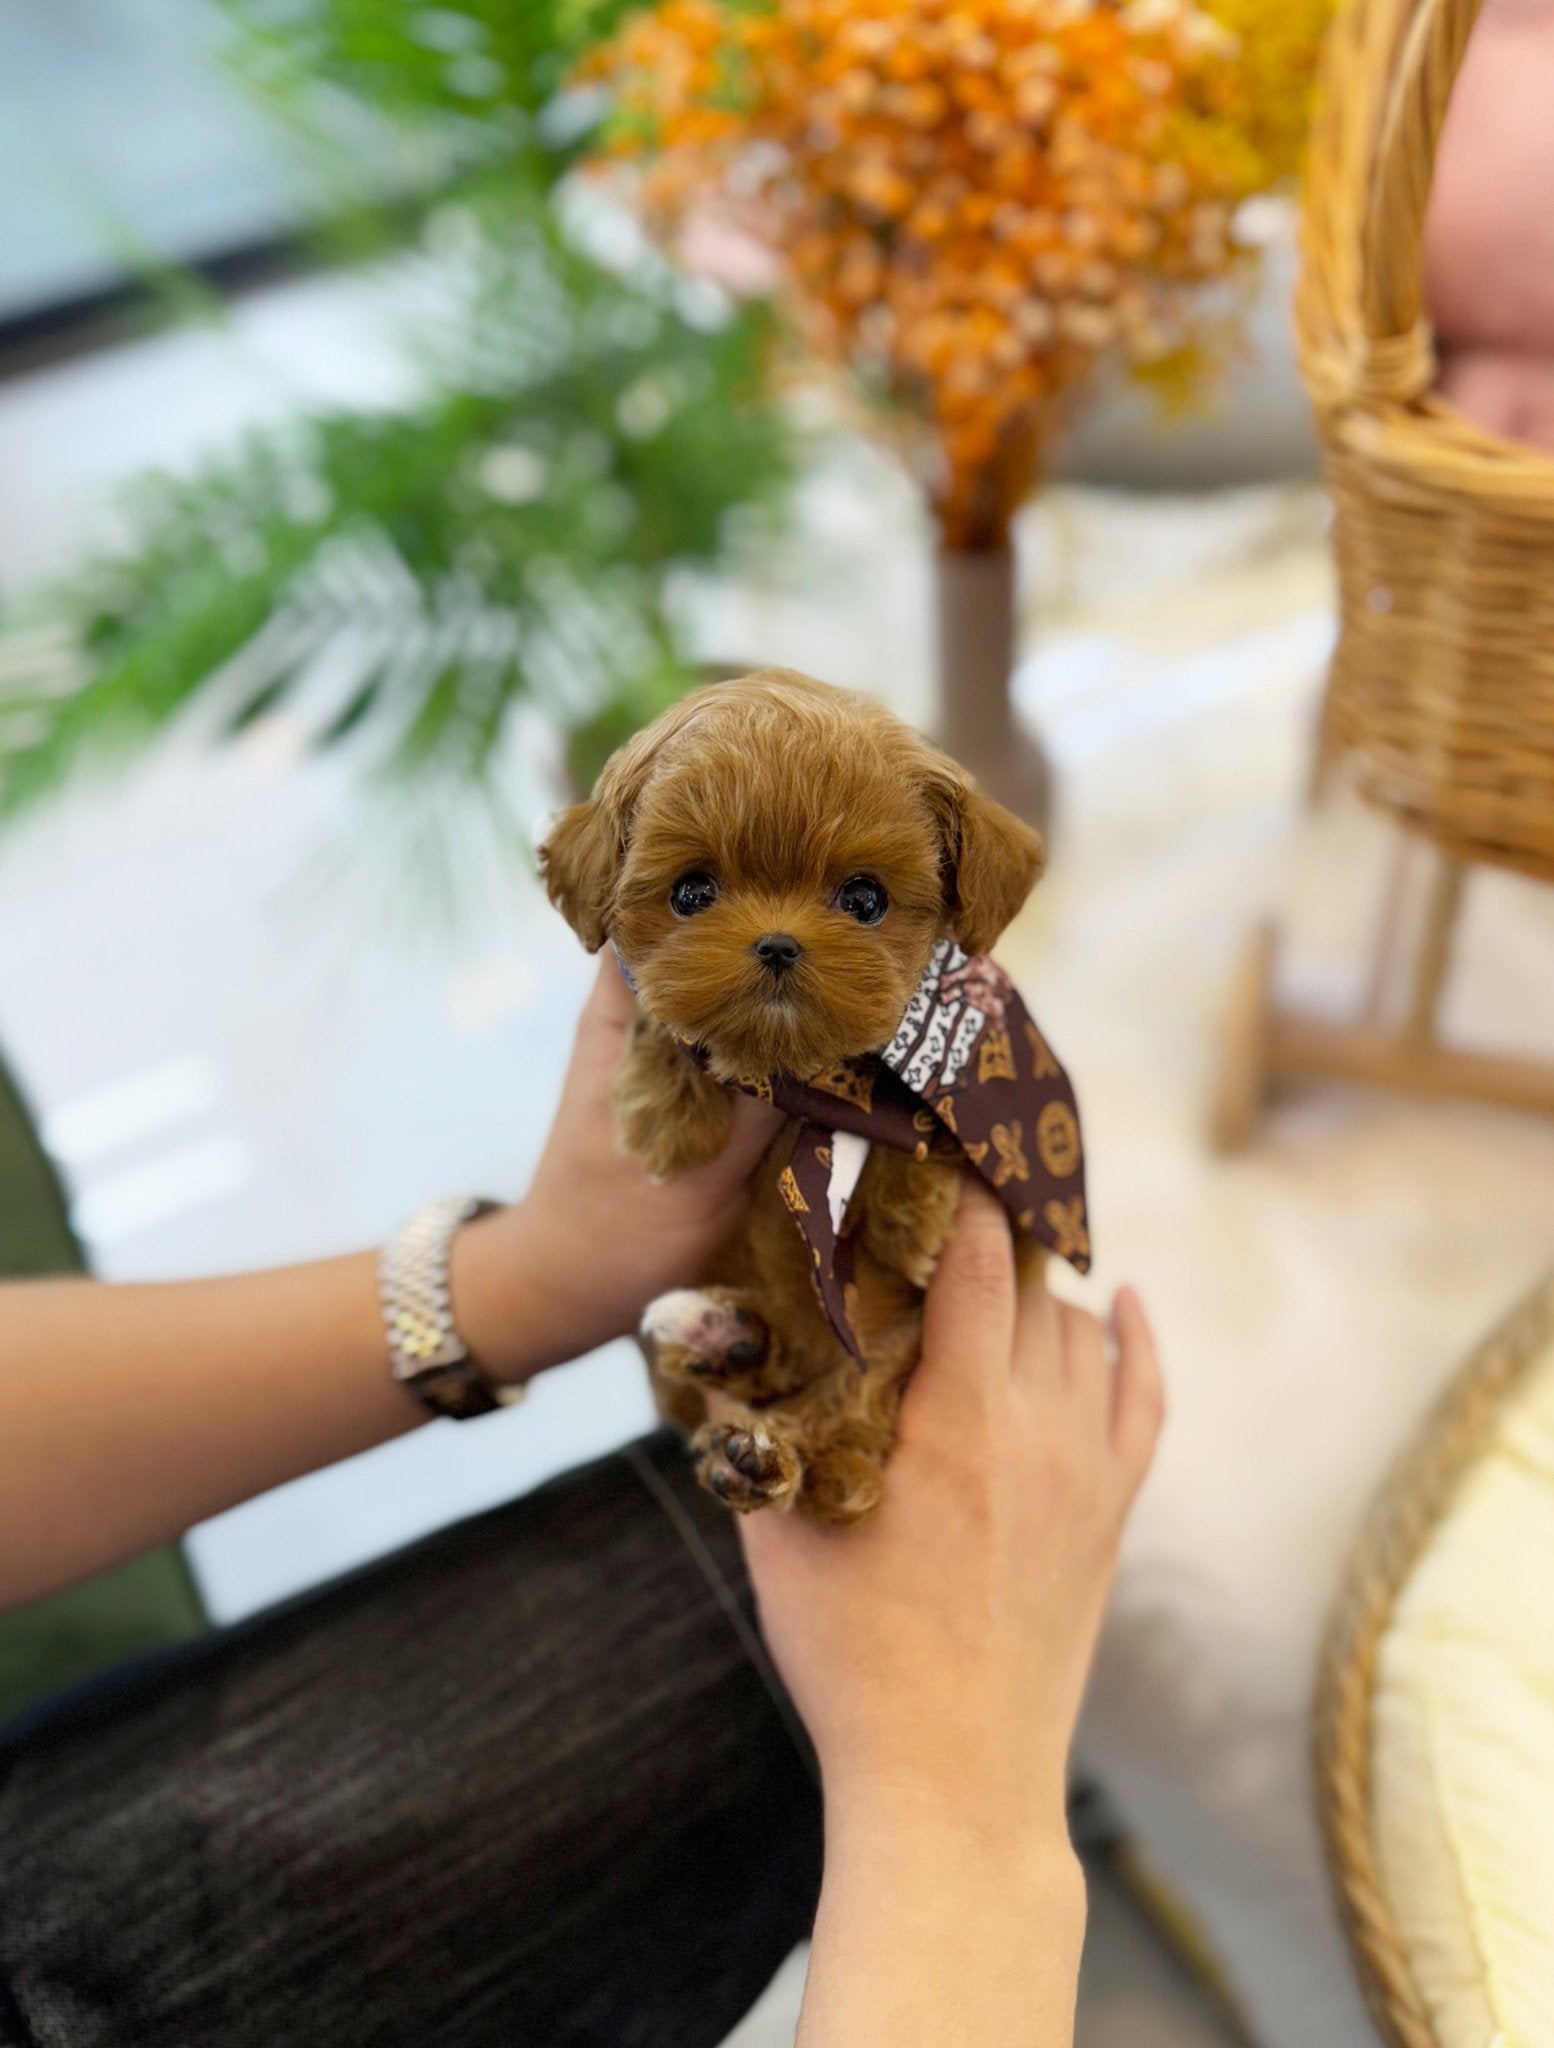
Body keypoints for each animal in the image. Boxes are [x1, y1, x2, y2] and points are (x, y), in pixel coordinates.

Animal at [536, 671, 1044, 1523]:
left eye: (865, 899)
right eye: (692, 892)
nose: (777, 943)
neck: (805, 1078)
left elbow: (936, 1104)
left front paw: (911, 1206)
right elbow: (665, 1019)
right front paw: (670, 1110)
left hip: (887, 1350)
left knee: (854, 1408)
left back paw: (804, 1460)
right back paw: (726, 1355)